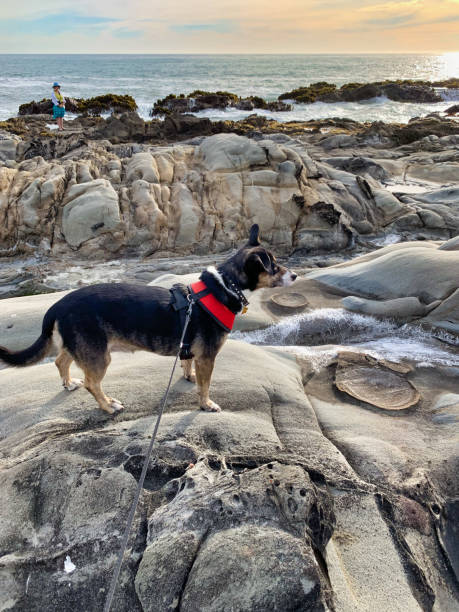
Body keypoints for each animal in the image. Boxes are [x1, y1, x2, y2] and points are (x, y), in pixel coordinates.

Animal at [0, 226, 298, 416]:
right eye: (274, 267)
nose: (295, 276)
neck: (224, 285)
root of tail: (57, 304)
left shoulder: (191, 349)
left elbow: (187, 365)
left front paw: (188, 377)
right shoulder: (208, 357)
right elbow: (205, 386)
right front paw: (206, 405)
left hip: (80, 346)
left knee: (61, 361)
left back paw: (68, 382)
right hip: (98, 355)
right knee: (91, 383)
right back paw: (108, 405)